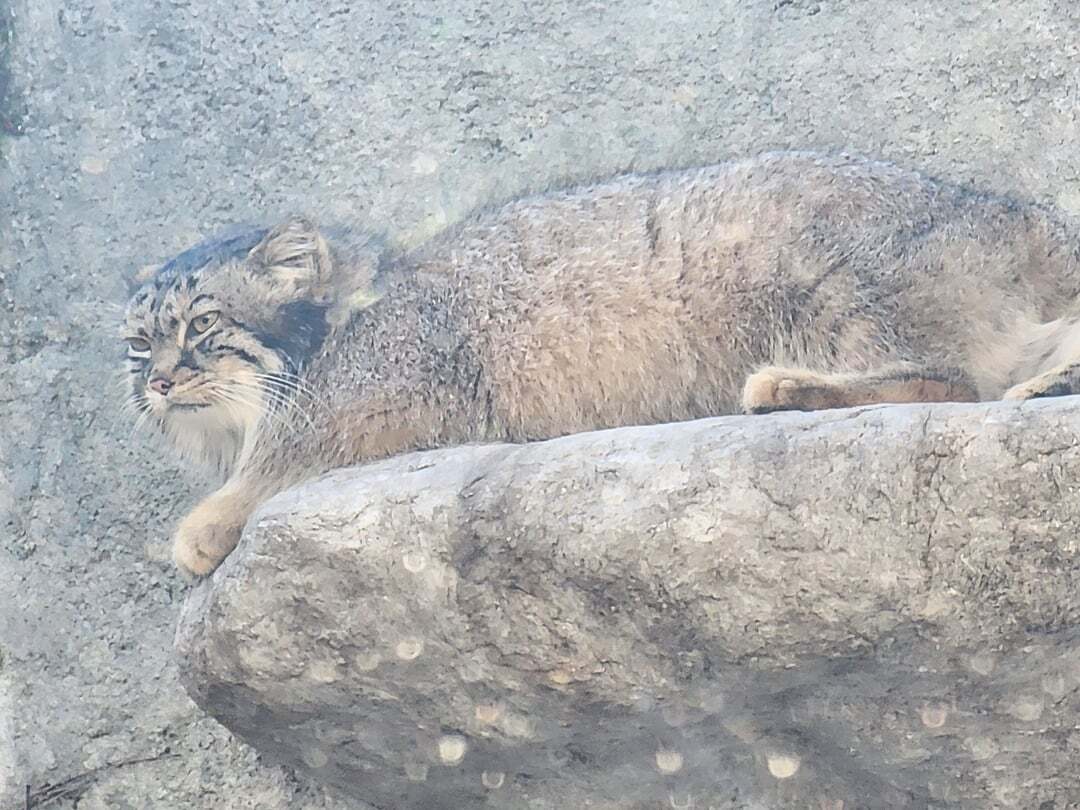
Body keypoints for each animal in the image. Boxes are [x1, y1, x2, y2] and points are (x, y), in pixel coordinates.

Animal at [122, 152, 1080, 578]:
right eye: (138, 344)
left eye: (202, 326)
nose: (158, 382)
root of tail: (1027, 215)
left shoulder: (401, 385)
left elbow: (288, 452)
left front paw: (209, 520)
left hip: (824, 271)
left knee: (949, 381)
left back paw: (789, 385)